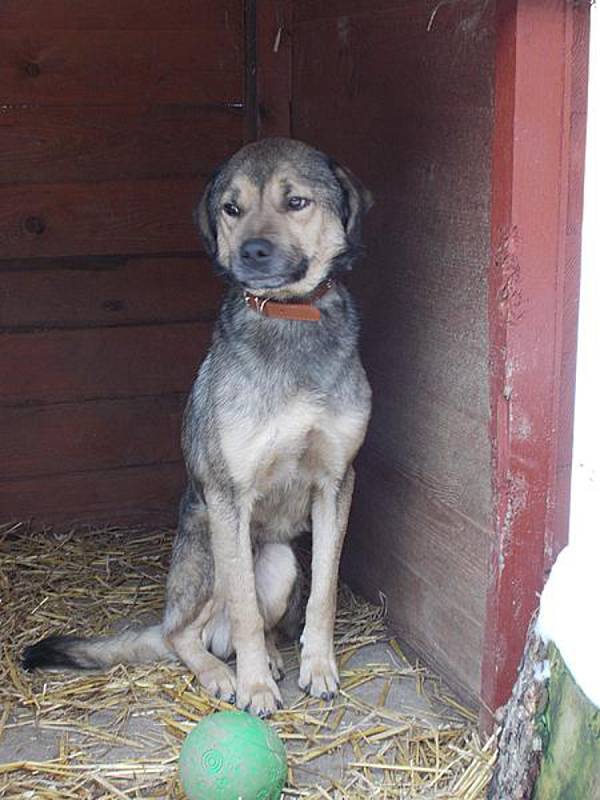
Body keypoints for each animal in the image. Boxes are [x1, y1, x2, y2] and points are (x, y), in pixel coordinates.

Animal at [23, 139, 372, 720]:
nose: (252, 251)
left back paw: (271, 658)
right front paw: (255, 689)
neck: (289, 318)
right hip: (210, 557)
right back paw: (222, 674)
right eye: (232, 208)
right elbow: (246, 610)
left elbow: (323, 592)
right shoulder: (229, 493)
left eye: (296, 202)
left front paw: (318, 666)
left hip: (279, 561)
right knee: (182, 634)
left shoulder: (337, 482)